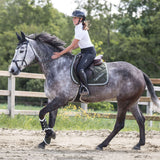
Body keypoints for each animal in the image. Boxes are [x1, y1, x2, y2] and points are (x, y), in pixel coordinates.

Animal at [9, 31, 160, 151]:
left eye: (21, 51)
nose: (12, 70)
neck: (56, 66)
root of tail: (139, 71)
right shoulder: (53, 99)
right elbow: (51, 120)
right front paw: (45, 140)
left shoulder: (61, 99)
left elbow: (41, 113)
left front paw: (50, 136)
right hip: (132, 102)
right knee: (140, 120)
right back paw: (139, 144)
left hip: (123, 101)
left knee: (119, 124)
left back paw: (101, 145)